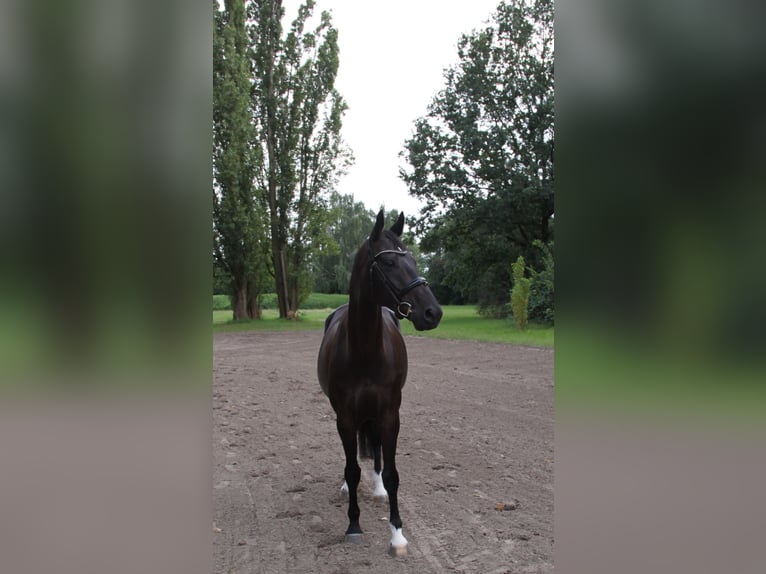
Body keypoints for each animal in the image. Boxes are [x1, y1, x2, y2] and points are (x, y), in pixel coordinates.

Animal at [316, 210, 440, 560]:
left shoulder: (390, 415)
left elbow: (393, 473)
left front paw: (397, 535)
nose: (433, 312)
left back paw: (378, 489)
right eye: (388, 262)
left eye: (412, 259)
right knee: (354, 458)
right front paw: (353, 526)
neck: (365, 350)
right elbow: (352, 468)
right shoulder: (344, 417)